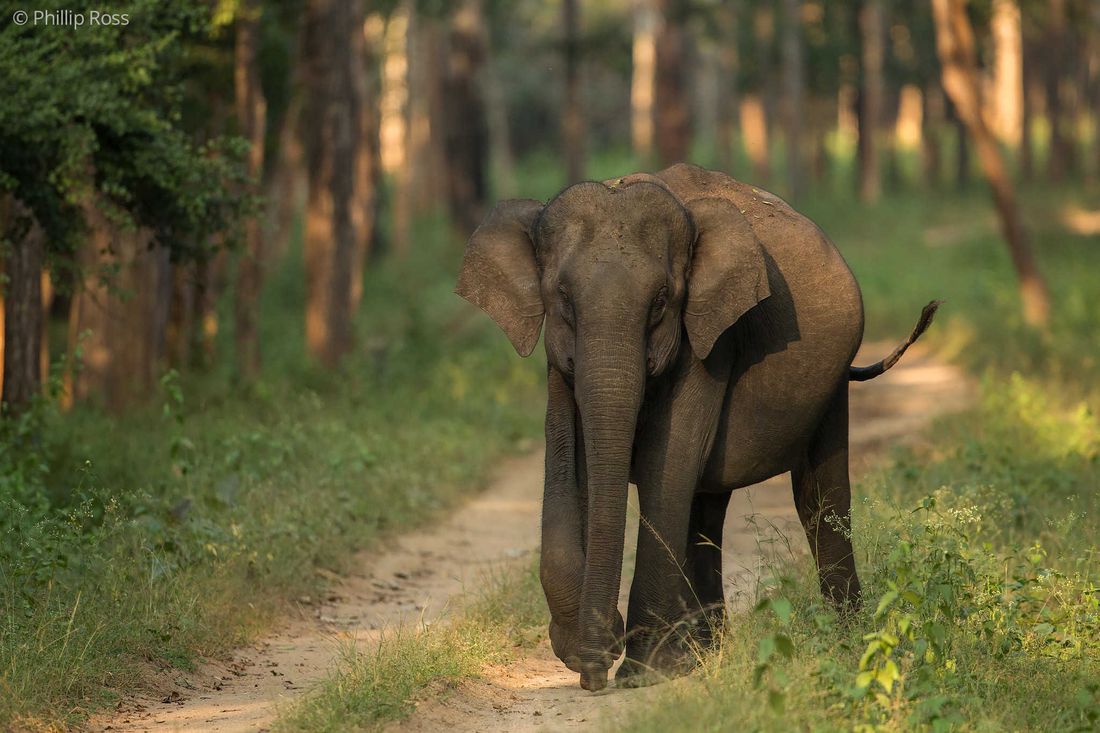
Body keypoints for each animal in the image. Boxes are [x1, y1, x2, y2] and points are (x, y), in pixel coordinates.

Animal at [454, 163, 939, 692]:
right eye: (561, 297)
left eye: (662, 301)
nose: (595, 676)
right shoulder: (557, 360)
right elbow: (567, 463)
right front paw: (591, 652)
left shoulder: (711, 337)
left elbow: (665, 466)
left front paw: (641, 672)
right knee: (706, 508)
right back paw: (703, 654)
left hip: (831, 384)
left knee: (817, 498)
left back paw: (842, 638)